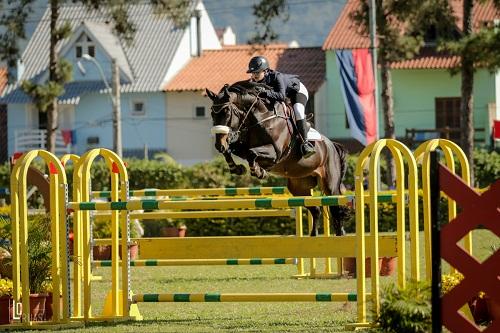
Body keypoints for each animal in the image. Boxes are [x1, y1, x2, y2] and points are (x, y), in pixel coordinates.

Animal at [205, 80, 350, 236]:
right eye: (212, 113)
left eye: (226, 111)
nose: (219, 145)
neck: (259, 118)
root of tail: (332, 145)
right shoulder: (241, 146)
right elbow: (234, 151)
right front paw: (237, 168)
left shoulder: (276, 152)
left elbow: (252, 153)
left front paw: (259, 172)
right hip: (299, 187)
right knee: (316, 209)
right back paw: (313, 235)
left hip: (330, 184)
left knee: (335, 210)